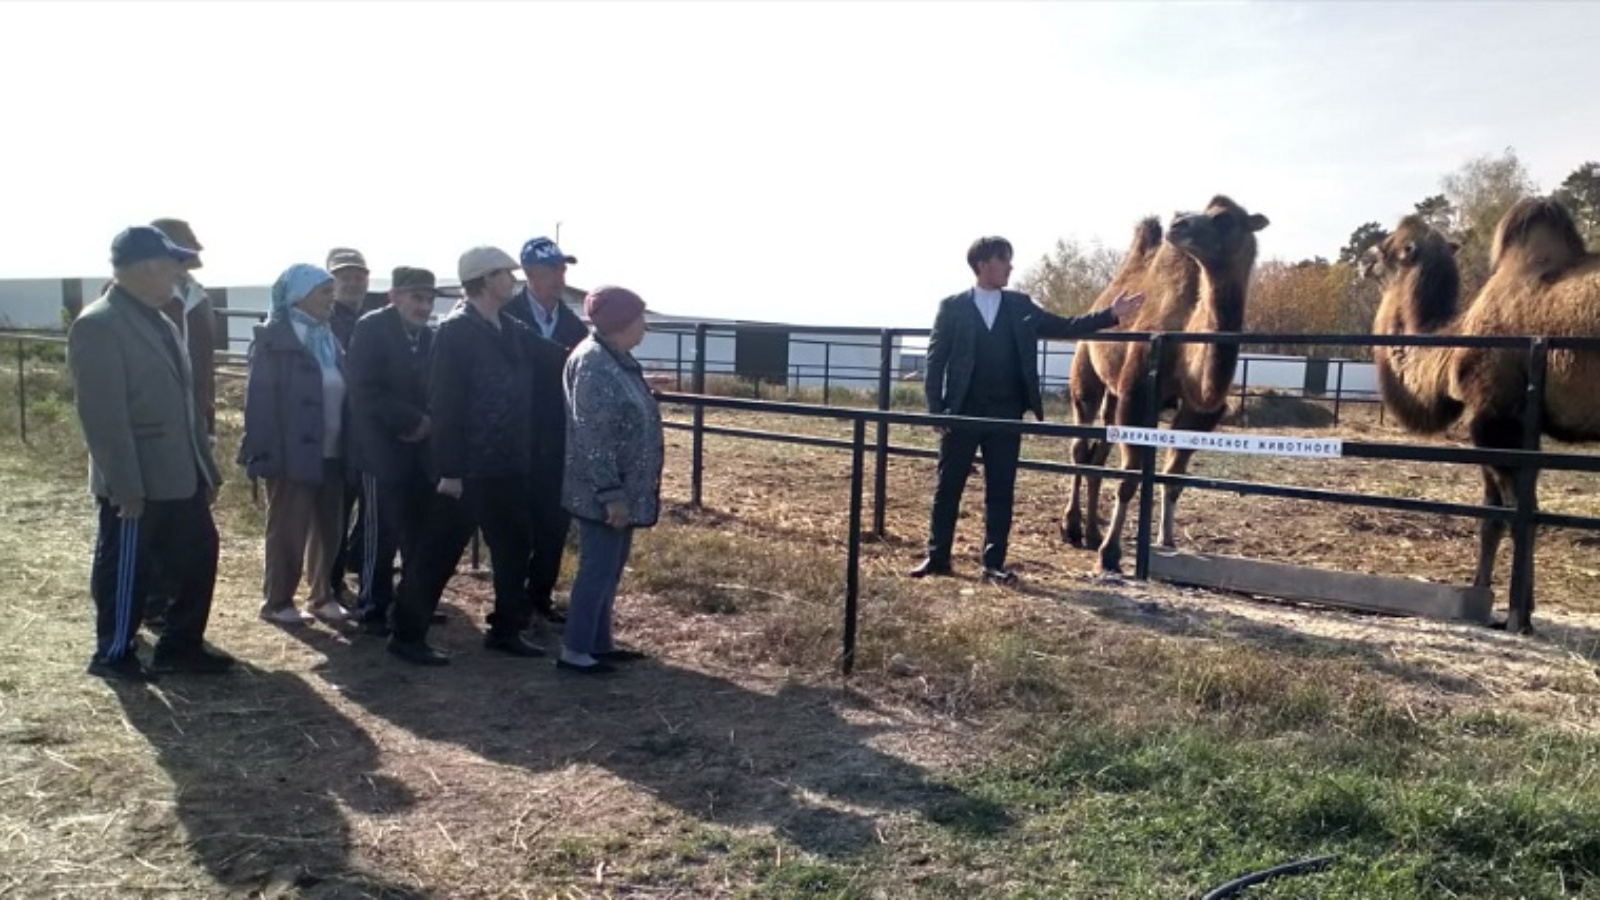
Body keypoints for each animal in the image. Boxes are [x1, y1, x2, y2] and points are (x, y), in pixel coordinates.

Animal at [1062, 196, 1273, 573]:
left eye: (1223, 218)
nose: (1179, 224)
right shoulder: (1136, 396)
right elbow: (1130, 479)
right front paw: (1110, 553)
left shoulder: (1199, 412)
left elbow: (1173, 479)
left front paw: (1168, 541)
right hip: (1086, 373)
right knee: (1079, 446)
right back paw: (1072, 527)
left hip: (1113, 396)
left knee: (1098, 452)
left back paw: (1091, 531)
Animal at [1363, 196, 1600, 630]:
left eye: (1388, 247)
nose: (1364, 261)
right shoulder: (1516, 424)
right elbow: (1492, 517)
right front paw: (1480, 595)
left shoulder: (1496, 416)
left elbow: (1520, 514)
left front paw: (1521, 615)